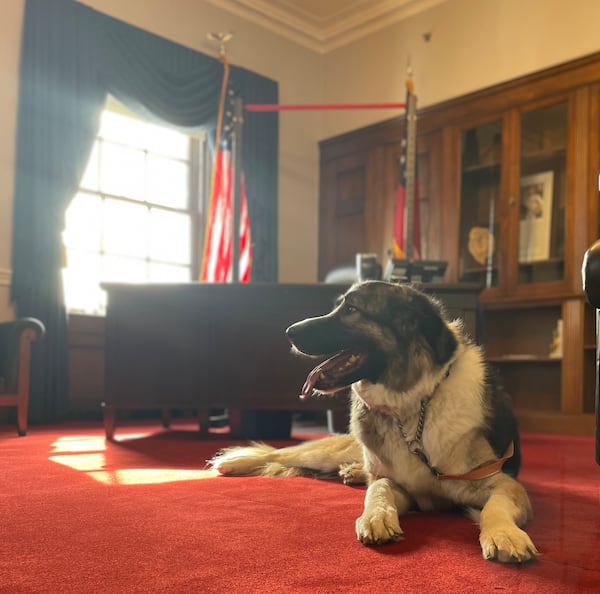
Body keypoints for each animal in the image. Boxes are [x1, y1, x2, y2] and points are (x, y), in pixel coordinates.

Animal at [209, 280, 536, 560]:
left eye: (352, 309)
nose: (289, 331)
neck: (412, 408)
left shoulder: (502, 483)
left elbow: (495, 507)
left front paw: (505, 534)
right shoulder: (399, 485)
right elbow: (378, 489)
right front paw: (375, 516)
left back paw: (352, 472)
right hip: (327, 453)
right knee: (281, 453)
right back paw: (235, 462)